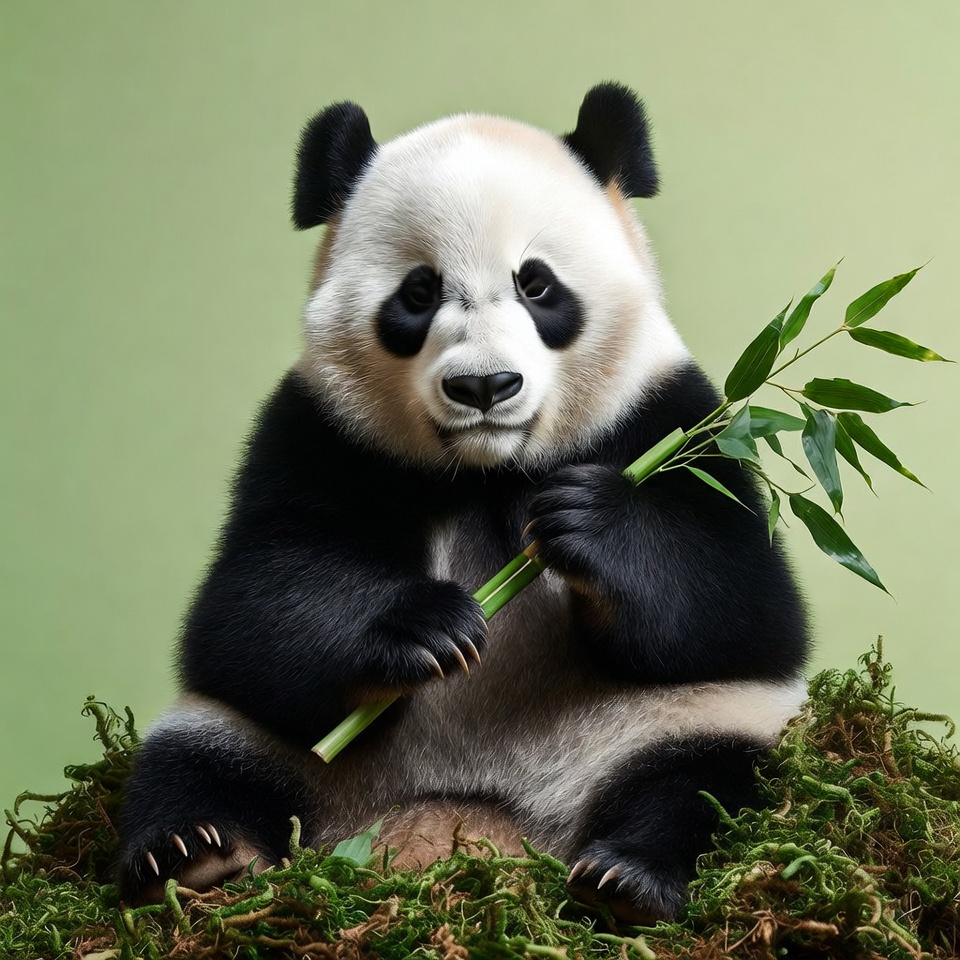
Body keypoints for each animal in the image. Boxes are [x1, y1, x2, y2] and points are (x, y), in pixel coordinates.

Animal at [117, 83, 808, 923]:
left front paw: (586, 522)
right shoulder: (319, 432)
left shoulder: (673, 417)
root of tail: (478, 812)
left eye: (536, 284)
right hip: (283, 751)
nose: (484, 385)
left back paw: (631, 878)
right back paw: (195, 854)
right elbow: (253, 598)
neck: (489, 471)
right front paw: (430, 626)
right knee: (197, 763)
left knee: (704, 783)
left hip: (666, 728)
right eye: (419, 292)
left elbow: (745, 603)